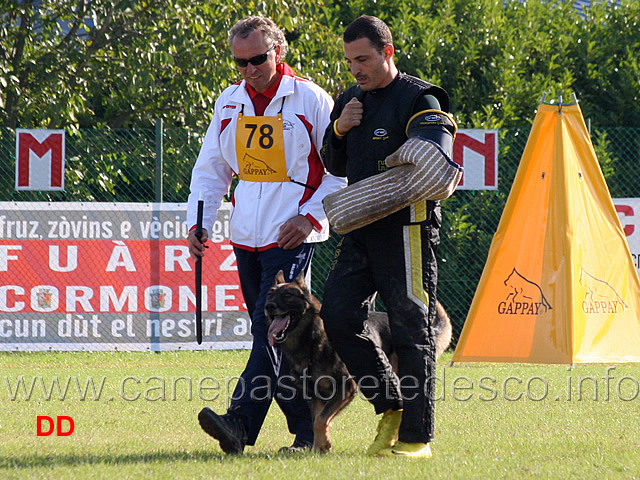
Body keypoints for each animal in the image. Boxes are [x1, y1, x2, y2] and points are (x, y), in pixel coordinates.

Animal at [264, 272, 450, 452]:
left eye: (288, 295)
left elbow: (321, 419)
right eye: (269, 294)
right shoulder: (314, 396)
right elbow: (317, 419)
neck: (312, 341)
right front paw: (319, 447)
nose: (268, 306)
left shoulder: (345, 389)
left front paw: (324, 444)